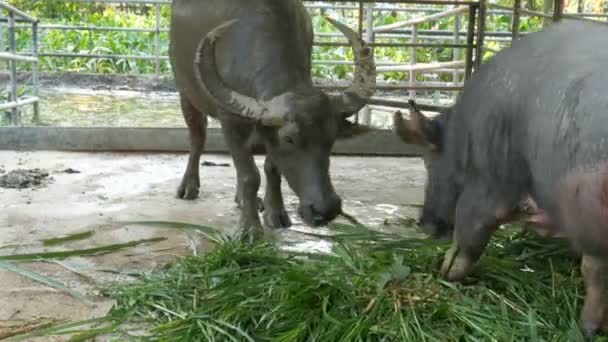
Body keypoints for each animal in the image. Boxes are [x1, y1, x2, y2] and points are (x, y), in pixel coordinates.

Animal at [167, 0, 376, 240]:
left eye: (331, 138)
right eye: (290, 139)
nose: (325, 209)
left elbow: (271, 168)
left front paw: (275, 212)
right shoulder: (229, 119)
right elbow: (249, 175)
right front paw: (249, 229)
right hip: (186, 94)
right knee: (197, 137)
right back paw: (188, 187)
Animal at [392, 19, 608, 336]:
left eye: (427, 162)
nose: (425, 223)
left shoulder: (489, 186)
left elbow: (468, 237)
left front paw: (445, 272)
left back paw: (587, 327)